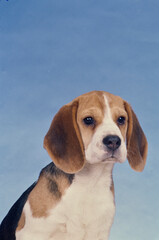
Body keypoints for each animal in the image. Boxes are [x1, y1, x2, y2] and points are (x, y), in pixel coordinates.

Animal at [0, 90, 148, 240]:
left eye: (121, 119)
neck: (90, 183)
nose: (113, 141)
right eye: (88, 119)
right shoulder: (32, 233)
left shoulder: (99, 233)